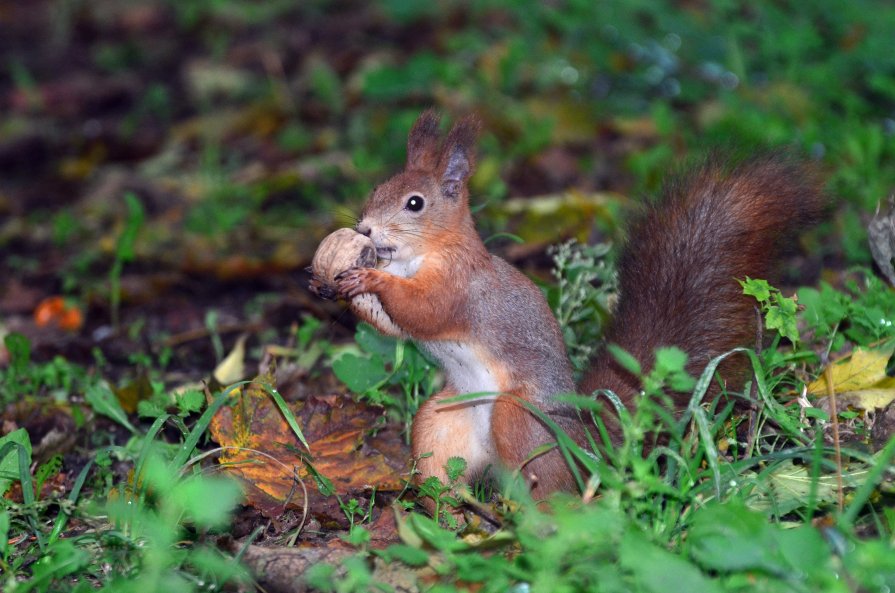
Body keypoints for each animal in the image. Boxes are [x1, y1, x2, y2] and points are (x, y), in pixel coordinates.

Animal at [332, 110, 824, 494]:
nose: (365, 228)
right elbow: (398, 326)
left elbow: (425, 310)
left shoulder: (459, 287)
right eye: (377, 189)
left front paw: (370, 277)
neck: (423, 254)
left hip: (518, 419)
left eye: (414, 203)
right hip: (441, 422)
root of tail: (583, 441)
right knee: (443, 473)